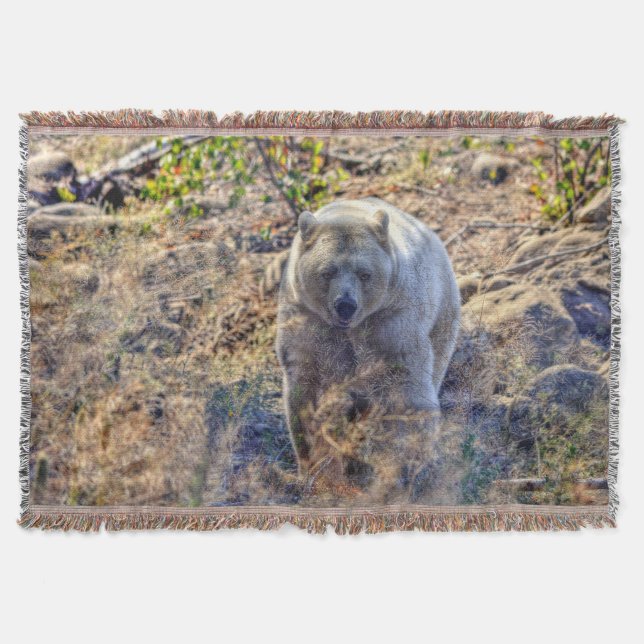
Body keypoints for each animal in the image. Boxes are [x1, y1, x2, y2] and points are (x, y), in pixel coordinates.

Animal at [276, 197, 461, 480]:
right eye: (327, 272)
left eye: (364, 273)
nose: (345, 305)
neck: (349, 329)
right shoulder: (307, 322)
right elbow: (306, 388)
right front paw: (312, 464)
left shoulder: (391, 322)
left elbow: (405, 382)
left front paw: (409, 457)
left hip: (441, 312)